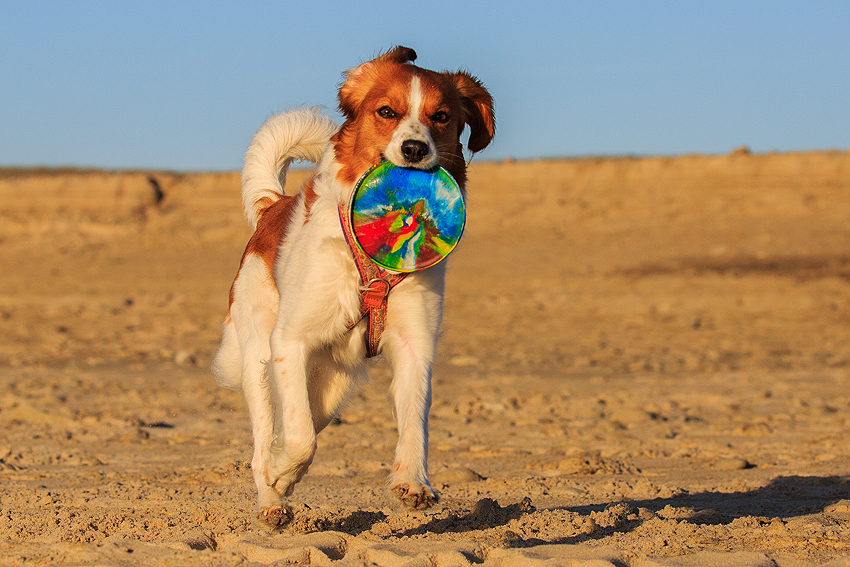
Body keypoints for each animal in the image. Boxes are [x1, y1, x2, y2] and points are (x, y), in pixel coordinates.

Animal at [209, 45, 494, 528]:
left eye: (442, 117)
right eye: (387, 112)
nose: (414, 149)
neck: (374, 261)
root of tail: (273, 208)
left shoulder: (415, 342)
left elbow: (415, 419)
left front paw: (412, 481)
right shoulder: (290, 341)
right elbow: (300, 439)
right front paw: (281, 475)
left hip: (331, 385)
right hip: (260, 357)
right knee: (267, 438)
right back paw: (271, 498)